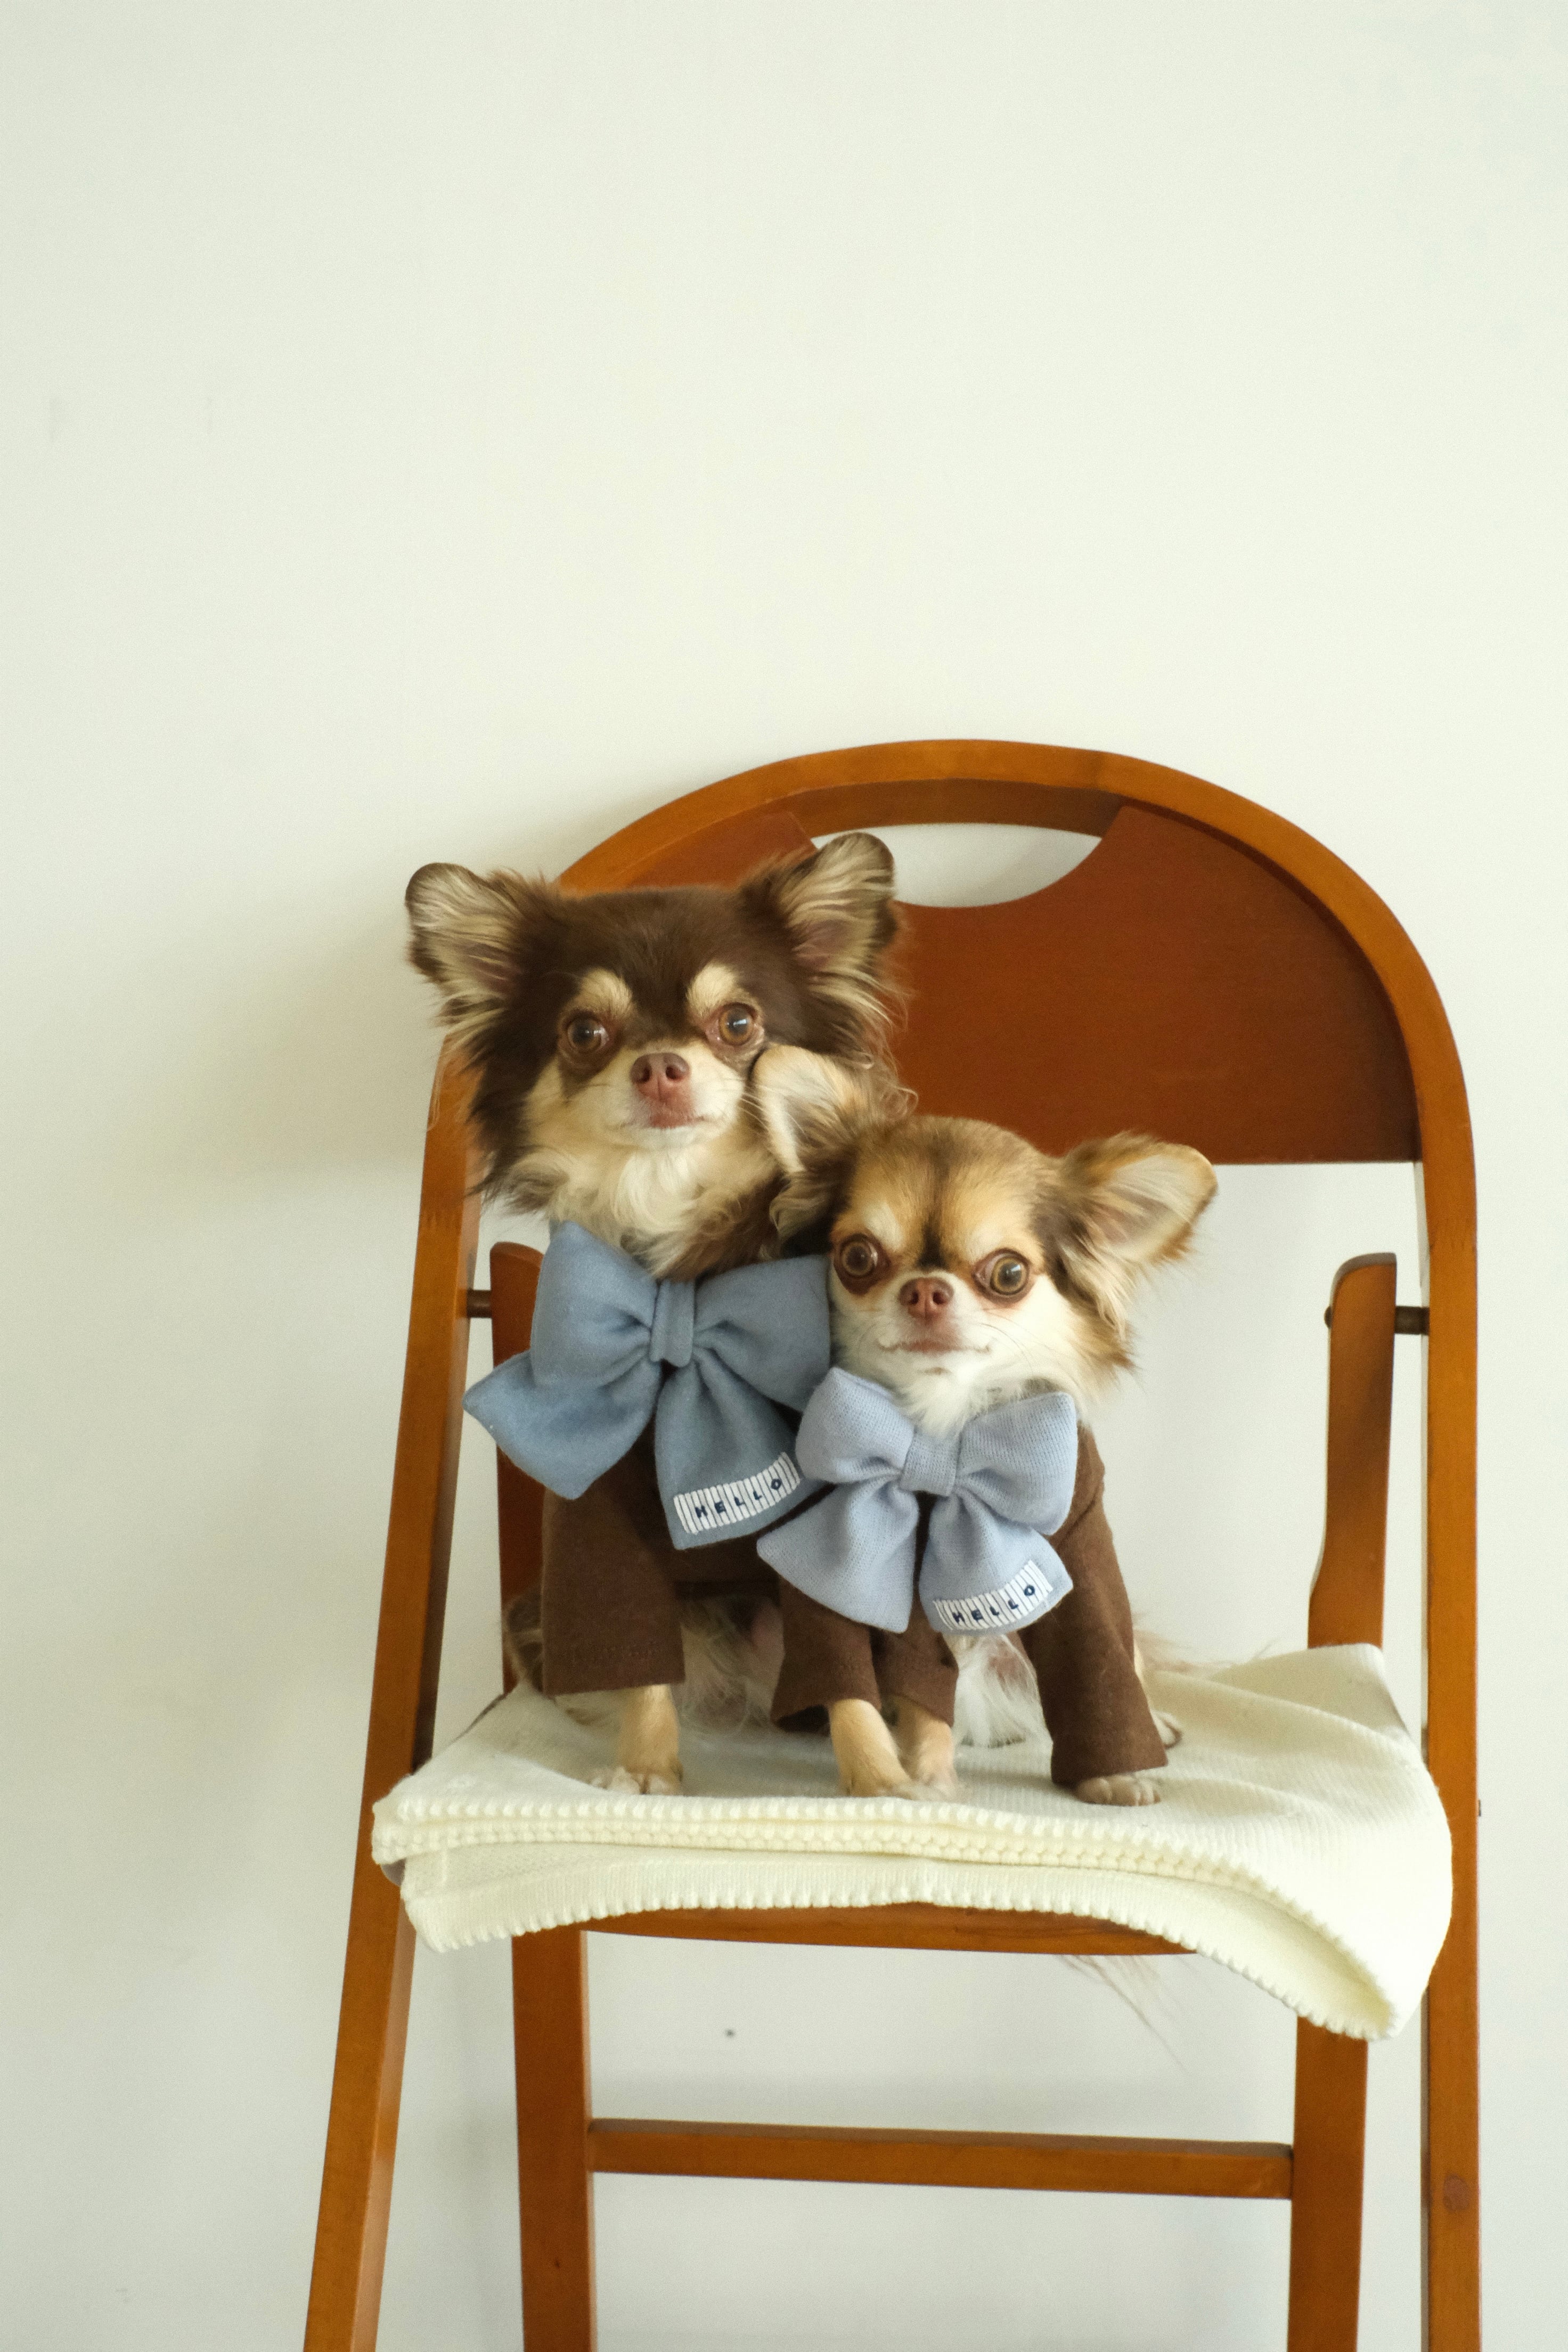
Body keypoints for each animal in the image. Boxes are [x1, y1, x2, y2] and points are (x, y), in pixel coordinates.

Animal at [404, 831, 902, 1789]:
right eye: (584, 1033)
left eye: (738, 1024)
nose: (661, 1065)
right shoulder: (601, 1515)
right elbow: (638, 1658)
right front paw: (644, 1769)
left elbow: (847, 1657)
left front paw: (876, 1777)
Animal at [755, 1058, 1216, 1806]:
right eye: (857, 1258)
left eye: (1008, 1273)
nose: (925, 1290)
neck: (940, 1433)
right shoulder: (831, 1550)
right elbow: (856, 1682)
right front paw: (892, 1782)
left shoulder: (1080, 1539)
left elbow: (1100, 1658)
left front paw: (1115, 1771)